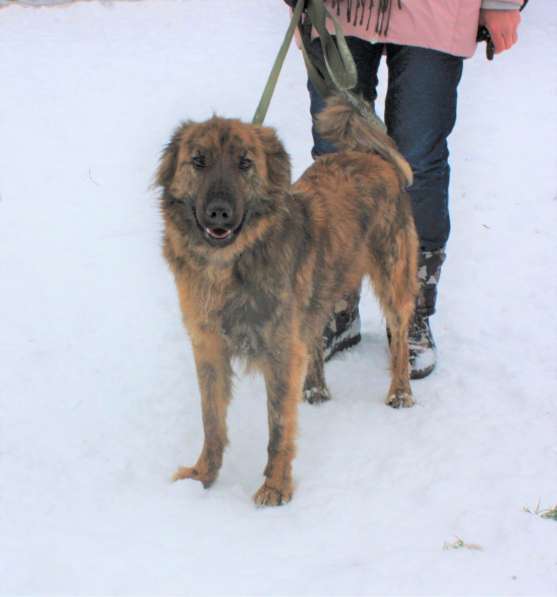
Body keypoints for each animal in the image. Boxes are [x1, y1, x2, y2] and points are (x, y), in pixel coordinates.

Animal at [156, 95, 416, 506]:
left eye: (245, 162)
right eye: (198, 160)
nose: (219, 213)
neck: (231, 265)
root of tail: (370, 155)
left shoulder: (279, 348)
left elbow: (279, 425)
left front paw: (275, 487)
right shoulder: (208, 345)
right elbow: (211, 419)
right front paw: (203, 475)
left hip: (393, 274)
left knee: (400, 332)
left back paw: (401, 391)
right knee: (315, 336)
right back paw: (316, 388)